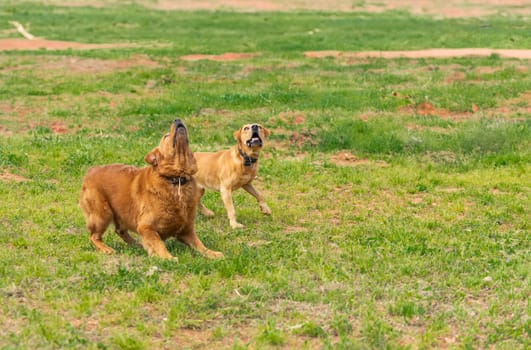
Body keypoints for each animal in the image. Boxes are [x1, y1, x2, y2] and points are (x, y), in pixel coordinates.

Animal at [79, 119, 222, 262]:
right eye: (166, 136)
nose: (177, 120)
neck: (176, 179)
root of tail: (90, 171)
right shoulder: (145, 227)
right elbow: (159, 244)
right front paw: (168, 258)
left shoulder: (186, 230)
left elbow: (200, 245)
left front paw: (212, 253)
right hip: (102, 214)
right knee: (94, 236)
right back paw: (106, 248)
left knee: (120, 231)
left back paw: (135, 244)